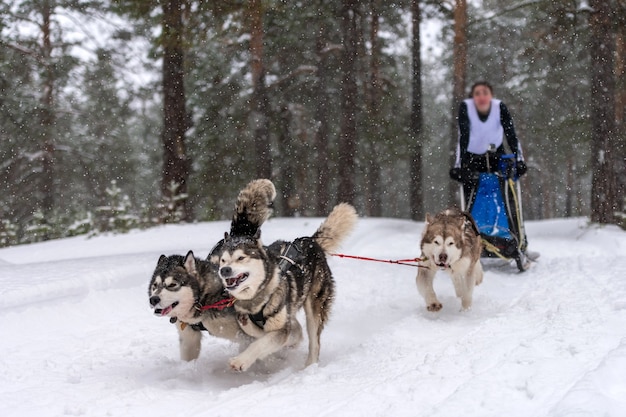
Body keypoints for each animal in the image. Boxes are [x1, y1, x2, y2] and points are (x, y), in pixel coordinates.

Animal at [147, 177, 274, 360]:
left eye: (172, 285)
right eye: (155, 286)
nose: (153, 299)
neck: (203, 299)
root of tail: (238, 236)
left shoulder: (245, 333)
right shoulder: (189, 337)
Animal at [218, 203, 356, 368]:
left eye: (241, 258)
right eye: (223, 260)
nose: (224, 270)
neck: (256, 298)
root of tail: (310, 241)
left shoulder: (281, 328)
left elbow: (262, 342)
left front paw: (241, 360)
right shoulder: (247, 319)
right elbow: (259, 333)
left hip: (314, 308)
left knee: (314, 343)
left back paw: (309, 366)